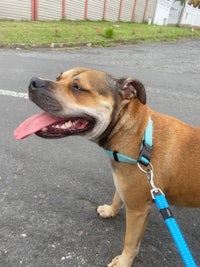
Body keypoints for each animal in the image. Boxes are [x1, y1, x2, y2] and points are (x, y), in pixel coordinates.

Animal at [14, 68, 200, 266]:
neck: (137, 135)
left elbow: (130, 241)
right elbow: (117, 197)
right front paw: (110, 211)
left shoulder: (138, 210)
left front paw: (124, 261)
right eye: (59, 77)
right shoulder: (123, 184)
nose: (34, 82)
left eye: (77, 87)